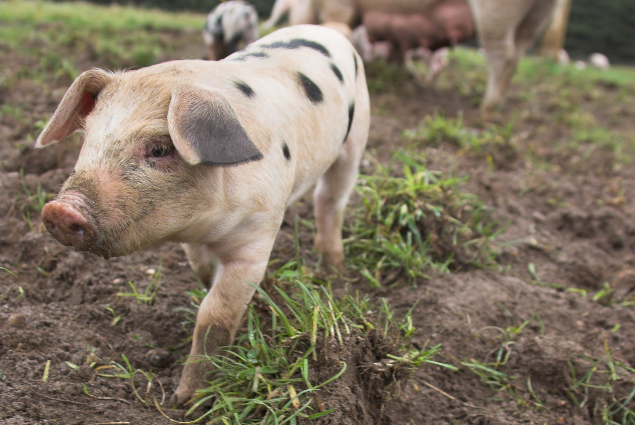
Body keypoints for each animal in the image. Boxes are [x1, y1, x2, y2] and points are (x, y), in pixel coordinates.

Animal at [36, 25, 372, 404]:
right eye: (87, 138)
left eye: (159, 149)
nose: (60, 209)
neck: (207, 227)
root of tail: (327, 29)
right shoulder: (193, 243)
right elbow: (203, 274)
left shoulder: (257, 236)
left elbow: (214, 314)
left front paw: (188, 401)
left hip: (355, 139)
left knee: (330, 199)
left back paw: (333, 269)